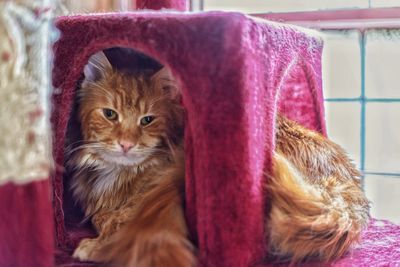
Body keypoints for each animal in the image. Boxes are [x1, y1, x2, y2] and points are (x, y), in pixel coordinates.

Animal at [68, 51, 368, 266]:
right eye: (110, 114)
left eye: (147, 120)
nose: (126, 144)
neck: (119, 173)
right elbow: (104, 217)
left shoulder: (154, 193)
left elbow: (121, 222)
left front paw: (95, 246)